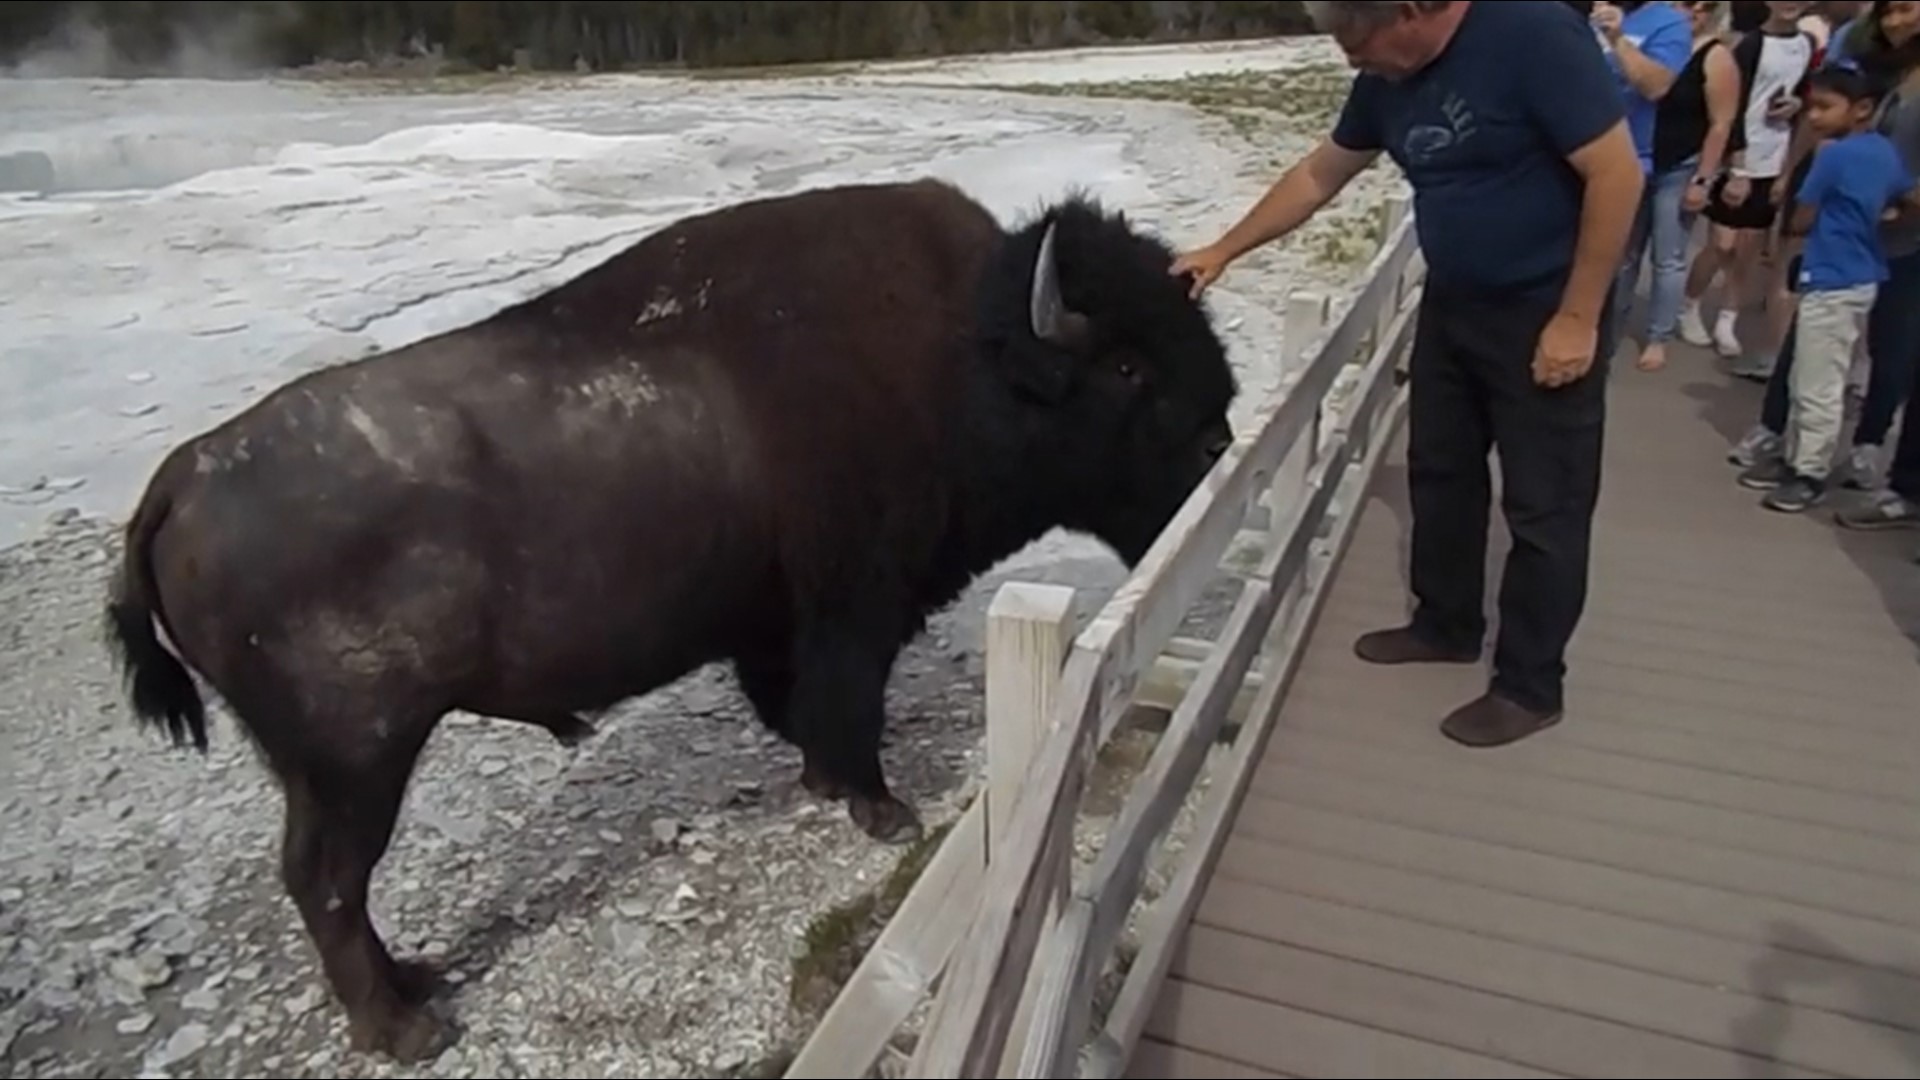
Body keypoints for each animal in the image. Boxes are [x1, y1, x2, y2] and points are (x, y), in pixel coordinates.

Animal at [104, 177, 1237, 1059]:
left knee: (328, 886)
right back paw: (409, 1030)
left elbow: (805, 710)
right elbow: (848, 706)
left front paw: (831, 787)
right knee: (327, 884)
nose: (1222, 438)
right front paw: (882, 810)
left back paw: (419, 983)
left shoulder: (782, 626)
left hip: (331, 769)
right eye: (1128, 367)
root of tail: (180, 477)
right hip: (357, 762)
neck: (967, 351)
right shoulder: (854, 609)